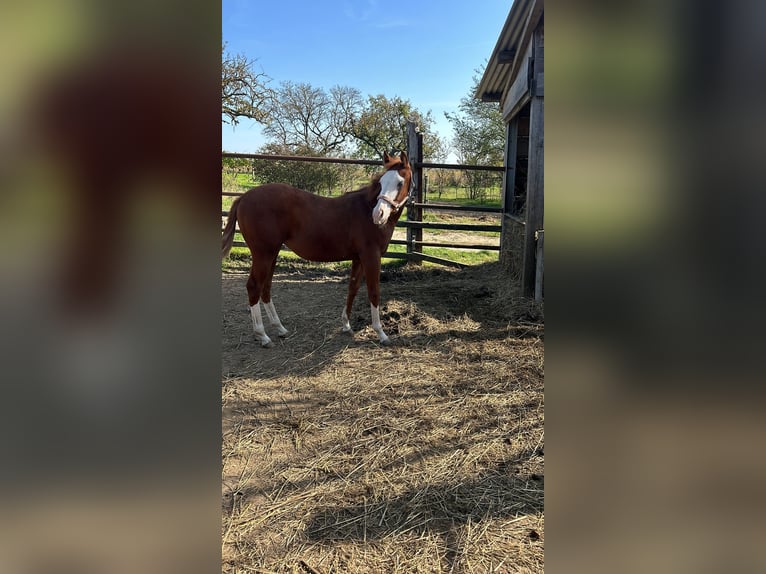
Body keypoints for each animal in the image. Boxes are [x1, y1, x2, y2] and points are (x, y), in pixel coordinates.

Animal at [222, 151, 414, 348]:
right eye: (381, 183)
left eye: (400, 183)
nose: (378, 214)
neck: (365, 210)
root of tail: (243, 198)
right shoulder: (371, 256)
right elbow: (374, 291)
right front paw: (381, 333)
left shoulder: (358, 258)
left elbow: (352, 288)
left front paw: (346, 325)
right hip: (263, 254)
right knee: (254, 287)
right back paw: (262, 335)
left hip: (272, 254)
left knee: (265, 288)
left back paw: (280, 328)